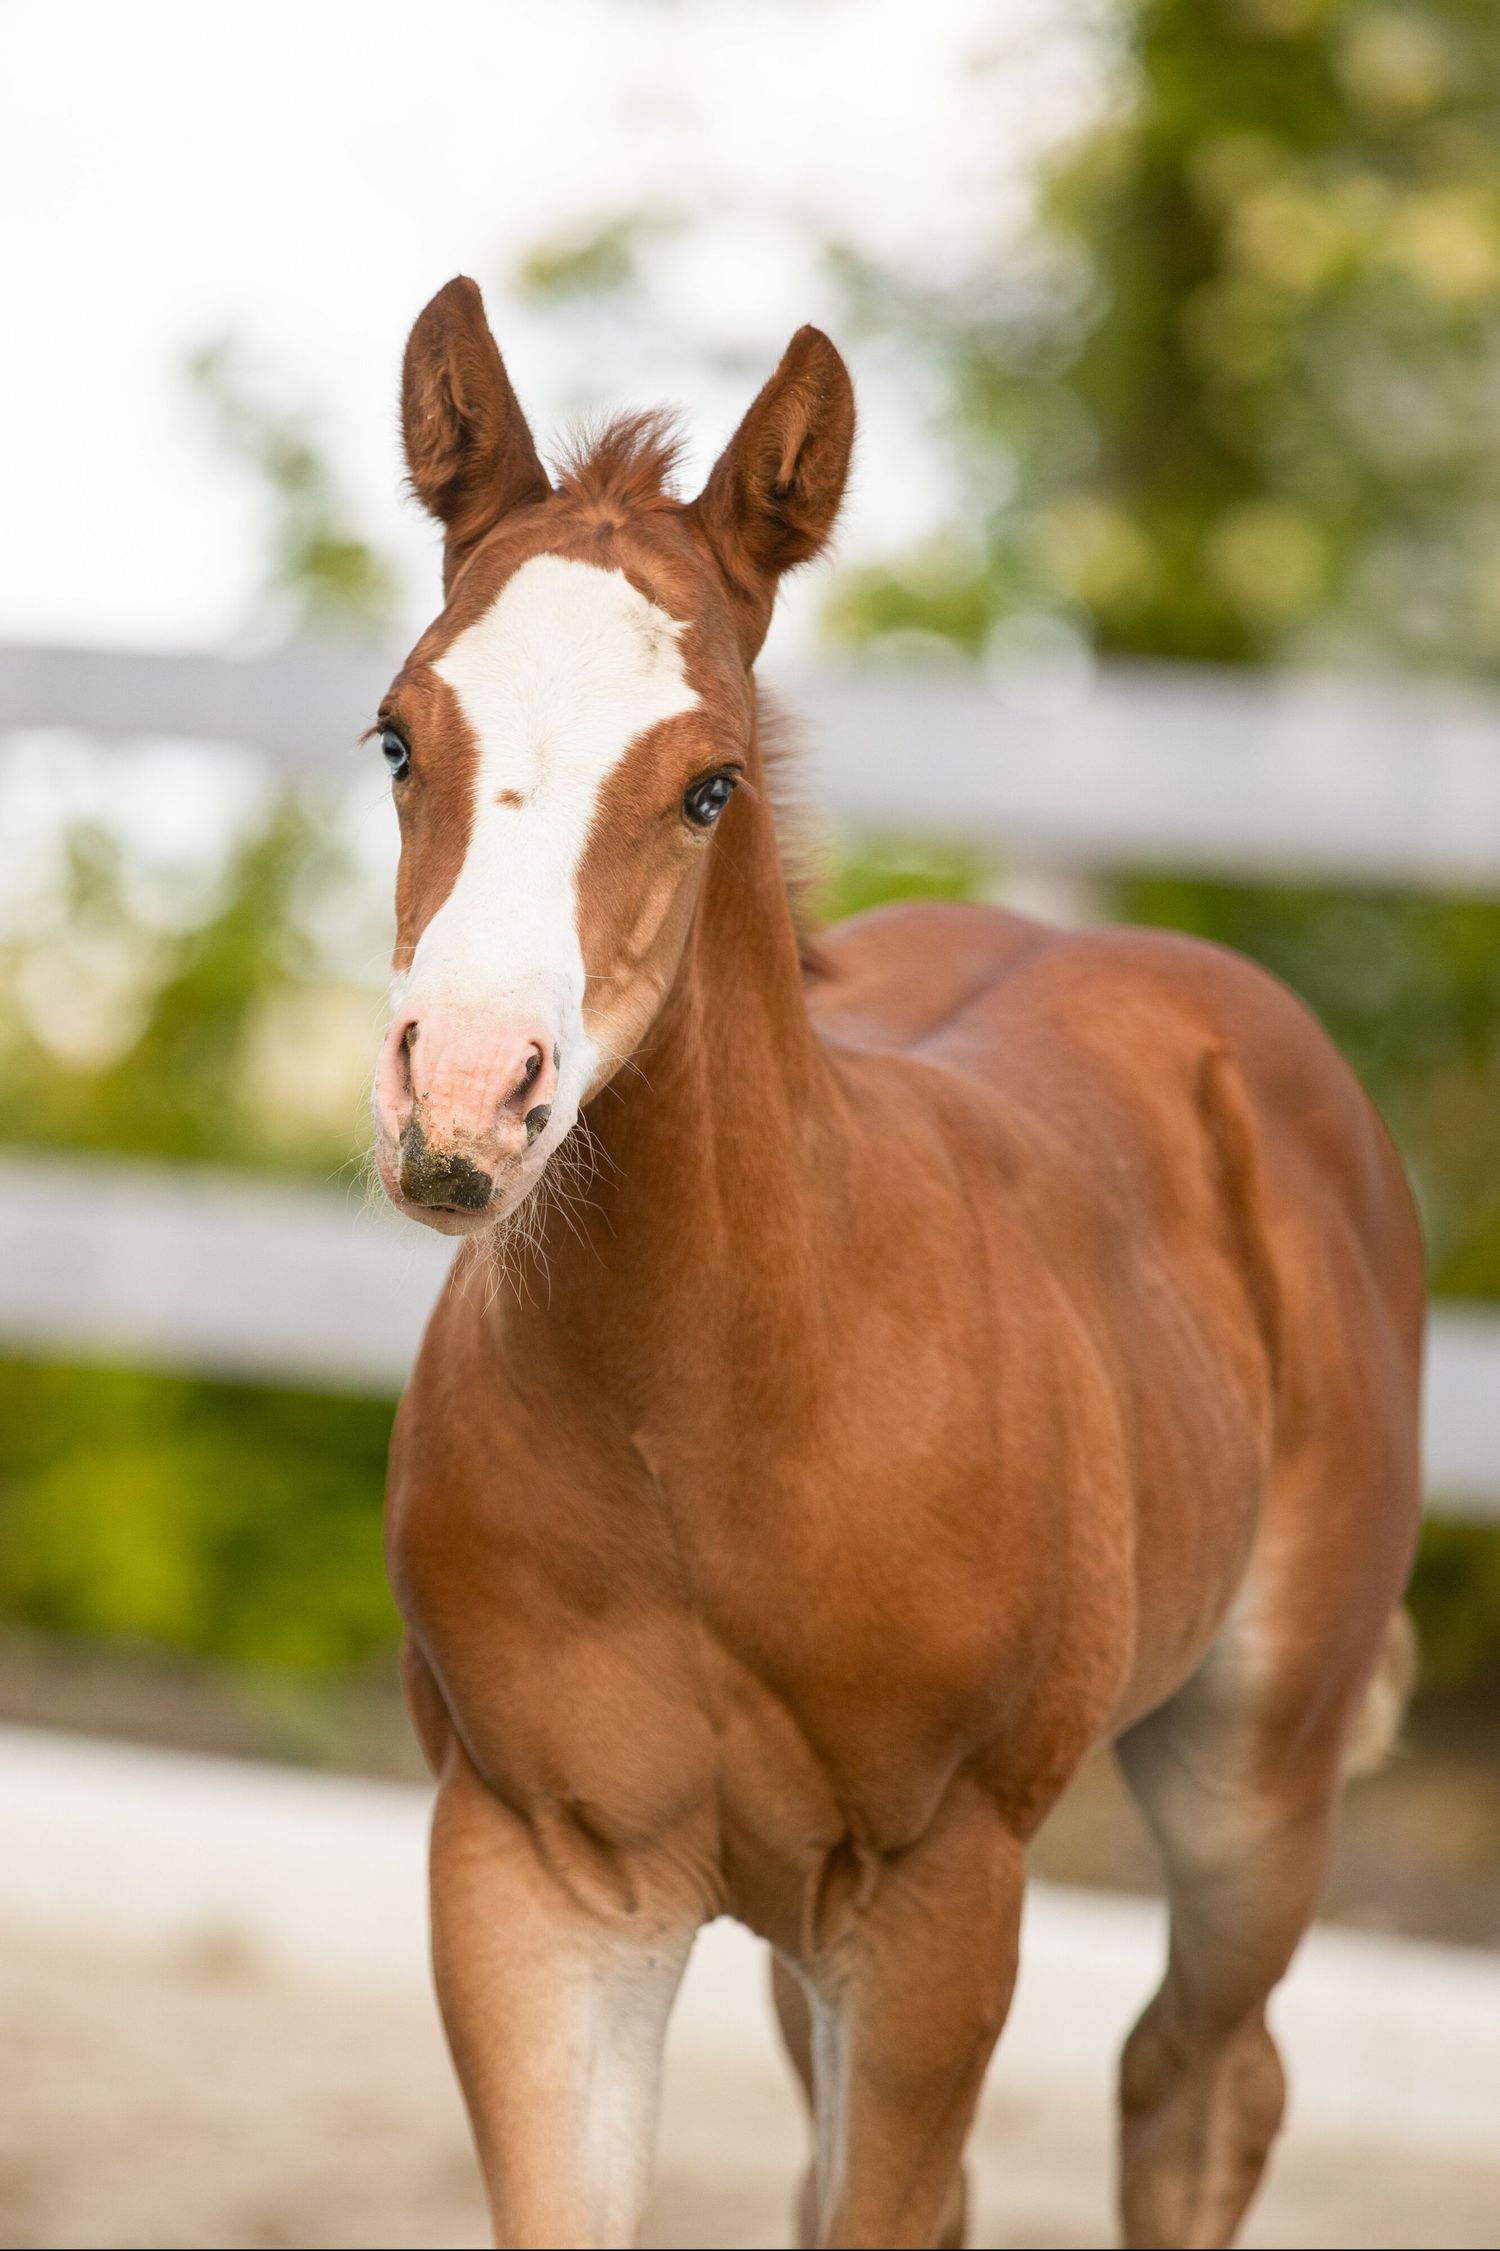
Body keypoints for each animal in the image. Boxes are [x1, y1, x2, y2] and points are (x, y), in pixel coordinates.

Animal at [371, 276, 1422, 2250]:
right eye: (399, 735)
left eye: (709, 782)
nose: (466, 1096)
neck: (721, 1410)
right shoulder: (532, 1871)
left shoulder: (944, 1891)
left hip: (1256, 1774)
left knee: (1199, 2082)